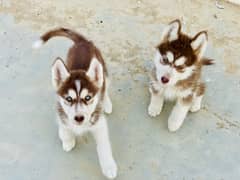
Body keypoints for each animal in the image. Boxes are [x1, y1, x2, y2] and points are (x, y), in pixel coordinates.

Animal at [32, 28, 117, 179]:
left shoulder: (99, 123)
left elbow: (104, 146)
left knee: (104, 87)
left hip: (103, 73)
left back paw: (106, 103)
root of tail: (83, 42)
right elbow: (64, 129)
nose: (79, 118)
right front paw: (68, 140)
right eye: (69, 99)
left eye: (88, 98)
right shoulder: (61, 112)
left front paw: (109, 167)